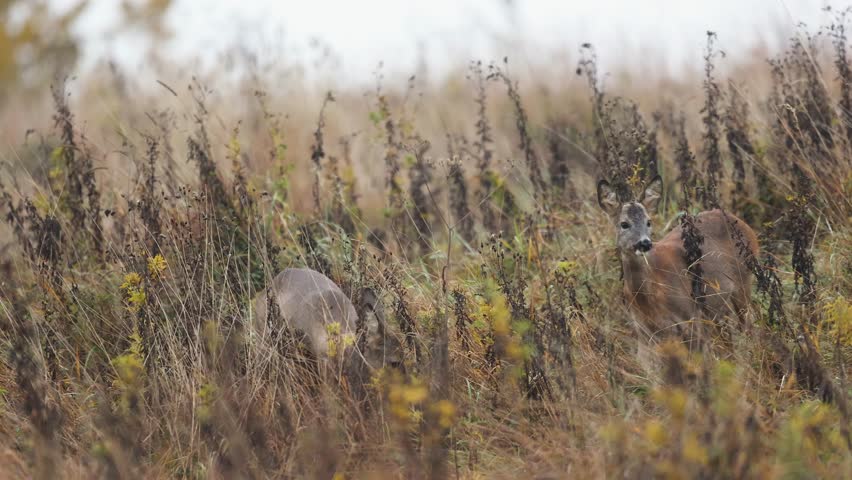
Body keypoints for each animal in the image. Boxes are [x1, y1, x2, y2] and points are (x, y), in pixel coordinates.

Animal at [596, 175, 760, 344]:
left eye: (648, 222)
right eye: (624, 224)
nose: (645, 243)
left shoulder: (689, 316)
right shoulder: (643, 329)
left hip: (743, 279)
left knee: (748, 324)